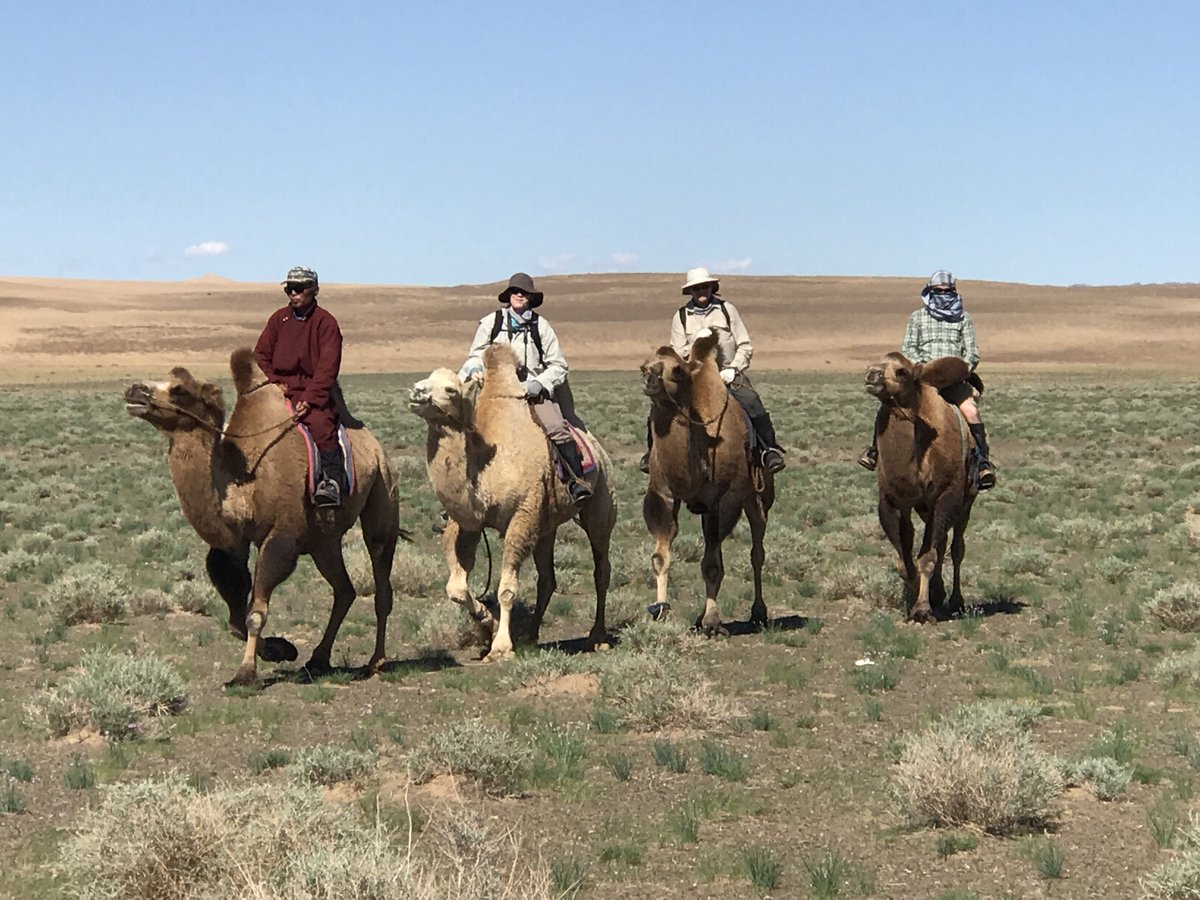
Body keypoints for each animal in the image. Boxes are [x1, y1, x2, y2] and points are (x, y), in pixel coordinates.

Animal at [124, 348, 400, 686]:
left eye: (180, 390)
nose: (135, 390)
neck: (245, 486)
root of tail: (376, 447)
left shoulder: (281, 538)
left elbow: (255, 612)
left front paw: (245, 673)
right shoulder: (232, 545)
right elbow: (235, 619)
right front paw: (281, 650)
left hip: (383, 493)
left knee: (380, 578)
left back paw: (375, 661)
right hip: (324, 540)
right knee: (344, 589)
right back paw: (318, 659)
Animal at [410, 345, 619, 662]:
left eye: (451, 389)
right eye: (429, 378)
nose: (416, 391)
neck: (490, 467)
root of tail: (597, 448)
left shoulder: (523, 515)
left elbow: (507, 588)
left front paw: (501, 647)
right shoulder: (468, 522)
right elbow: (456, 587)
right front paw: (488, 623)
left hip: (601, 507)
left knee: (601, 570)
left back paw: (597, 637)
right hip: (547, 526)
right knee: (547, 578)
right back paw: (530, 636)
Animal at [643, 326, 772, 633]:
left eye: (677, 370)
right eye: (643, 366)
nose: (650, 380)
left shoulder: (723, 500)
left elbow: (712, 564)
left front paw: (713, 621)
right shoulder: (662, 493)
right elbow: (660, 556)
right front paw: (661, 611)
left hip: (756, 497)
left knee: (757, 551)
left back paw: (758, 612)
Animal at [868, 355, 979, 628]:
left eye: (902, 372)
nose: (871, 374)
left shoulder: (947, 496)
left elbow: (927, 556)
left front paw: (921, 610)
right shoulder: (893, 500)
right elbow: (905, 559)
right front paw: (914, 596)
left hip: (967, 501)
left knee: (956, 548)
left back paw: (956, 600)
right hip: (924, 507)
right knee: (941, 542)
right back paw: (938, 592)